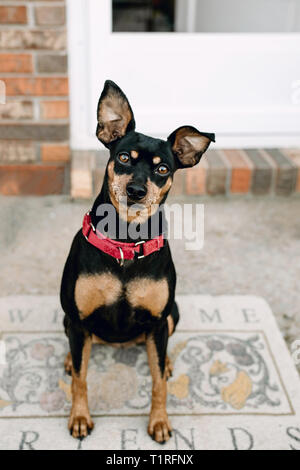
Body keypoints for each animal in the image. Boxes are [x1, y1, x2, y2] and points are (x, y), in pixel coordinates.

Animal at [60, 81, 216, 444]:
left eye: (162, 169)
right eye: (123, 158)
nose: (135, 191)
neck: (126, 243)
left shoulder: (158, 322)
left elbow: (158, 383)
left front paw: (159, 421)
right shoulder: (78, 320)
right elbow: (80, 380)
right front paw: (80, 417)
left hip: (172, 314)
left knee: (160, 353)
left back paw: (167, 361)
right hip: (68, 321)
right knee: (78, 355)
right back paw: (70, 360)